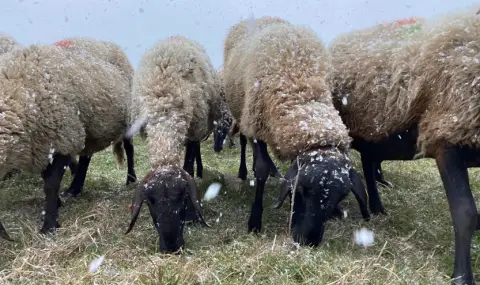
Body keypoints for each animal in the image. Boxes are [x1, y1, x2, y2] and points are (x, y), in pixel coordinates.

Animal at [0, 42, 132, 237]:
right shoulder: (43, 145)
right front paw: (56, 205)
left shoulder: (62, 139)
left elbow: (51, 183)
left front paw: (49, 225)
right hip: (88, 128)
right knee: (86, 157)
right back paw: (74, 188)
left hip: (128, 118)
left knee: (129, 148)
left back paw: (131, 180)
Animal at [123, 35, 222, 253]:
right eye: (150, 203)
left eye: (183, 199)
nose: (171, 247)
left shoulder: (193, 130)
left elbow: (188, 164)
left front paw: (193, 216)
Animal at [223, 17, 370, 244]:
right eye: (300, 190)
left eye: (341, 196)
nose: (308, 241)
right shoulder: (256, 125)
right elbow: (261, 169)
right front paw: (254, 221)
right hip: (242, 114)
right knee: (243, 142)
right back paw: (243, 171)